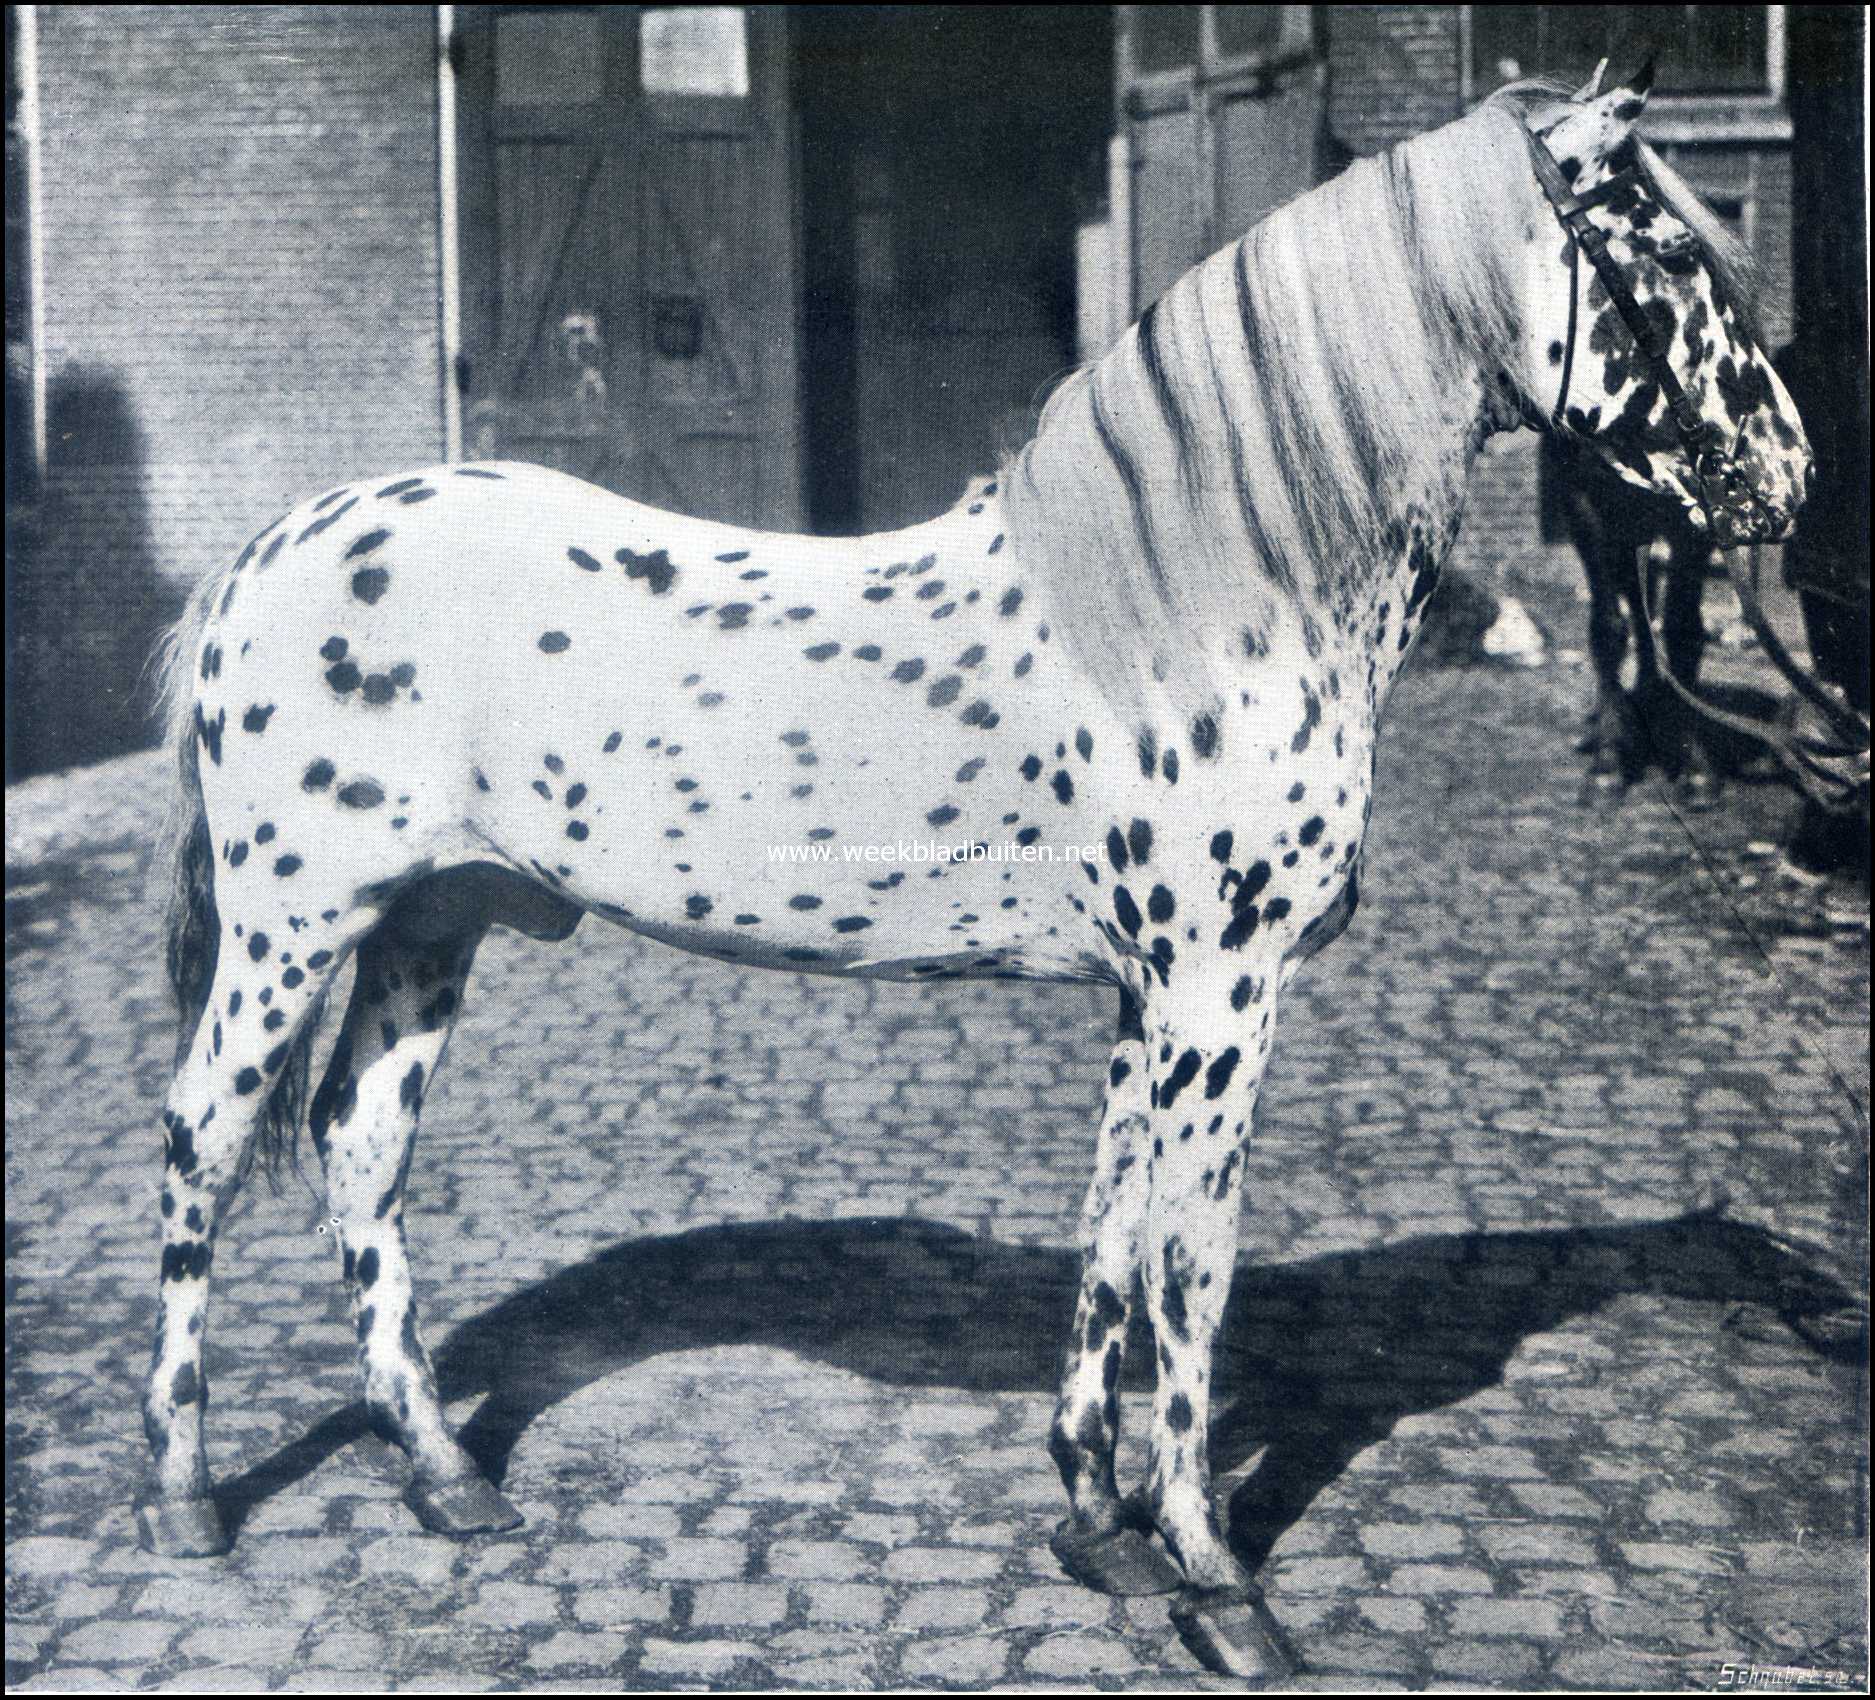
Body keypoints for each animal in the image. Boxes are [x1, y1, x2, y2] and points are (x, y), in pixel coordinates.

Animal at [139, 67, 1810, 1678]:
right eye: (1666, 256)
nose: (1786, 481)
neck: (1195, 604)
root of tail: (267, 556)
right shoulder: (1220, 995)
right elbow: (1192, 1261)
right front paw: (1215, 1581)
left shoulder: (1149, 1002)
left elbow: (1112, 1220)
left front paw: (1096, 1520)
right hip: (292, 928)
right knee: (203, 1142)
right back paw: (184, 1499)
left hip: (433, 920)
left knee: (361, 1143)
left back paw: (444, 1479)